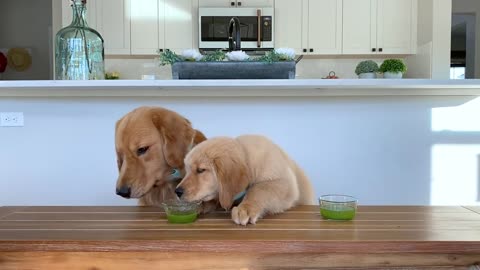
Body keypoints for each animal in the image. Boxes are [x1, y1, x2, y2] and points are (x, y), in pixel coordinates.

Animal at [175, 134, 316, 225]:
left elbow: (259, 189)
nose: (177, 192)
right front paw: (199, 206)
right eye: (187, 171)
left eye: (200, 170)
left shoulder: (285, 183)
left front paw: (245, 208)